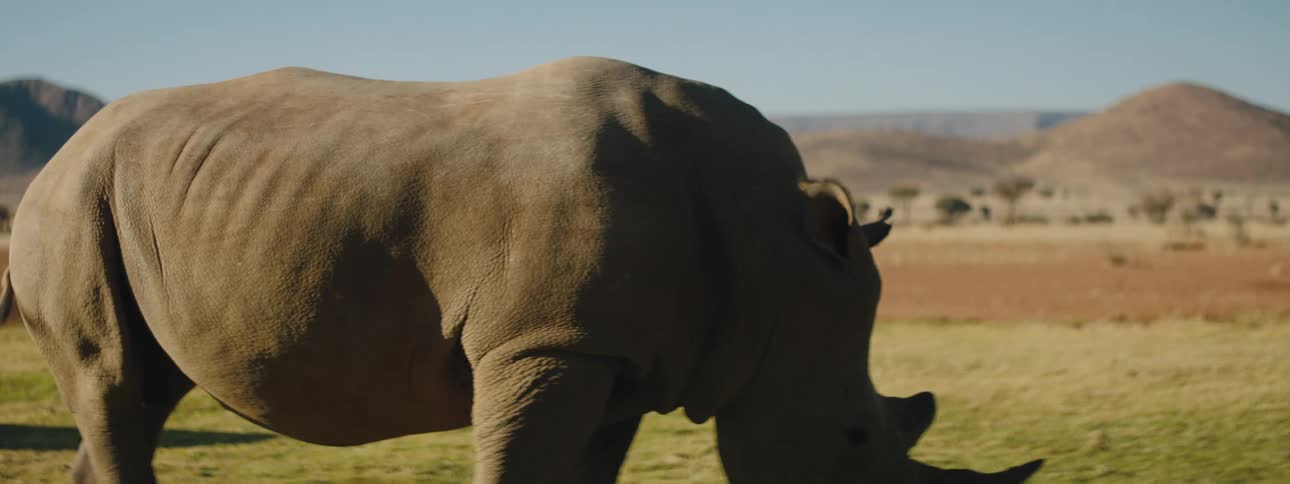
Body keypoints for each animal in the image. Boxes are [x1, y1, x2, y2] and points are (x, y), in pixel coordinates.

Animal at [0, 57, 1042, 483]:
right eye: (858, 440)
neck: (769, 248)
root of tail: (54, 161)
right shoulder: (545, 343)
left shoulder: (626, 358)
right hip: (65, 205)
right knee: (111, 378)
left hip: (119, 203)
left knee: (140, 389)